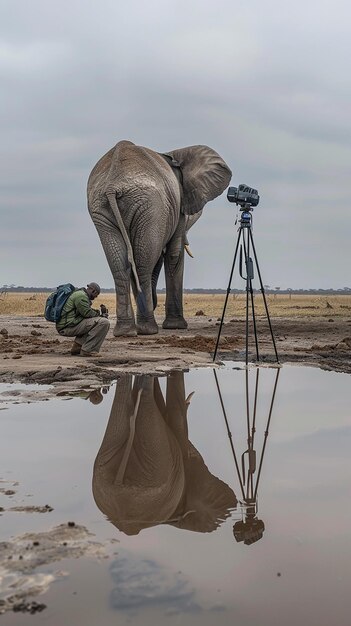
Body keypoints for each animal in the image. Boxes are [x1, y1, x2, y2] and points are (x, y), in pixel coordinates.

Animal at [87, 139, 234, 334]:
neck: (175, 154)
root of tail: (113, 185)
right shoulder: (179, 204)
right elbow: (173, 254)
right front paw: (176, 326)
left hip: (101, 208)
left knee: (121, 265)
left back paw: (125, 331)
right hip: (151, 206)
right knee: (142, 265)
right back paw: (147, 329)